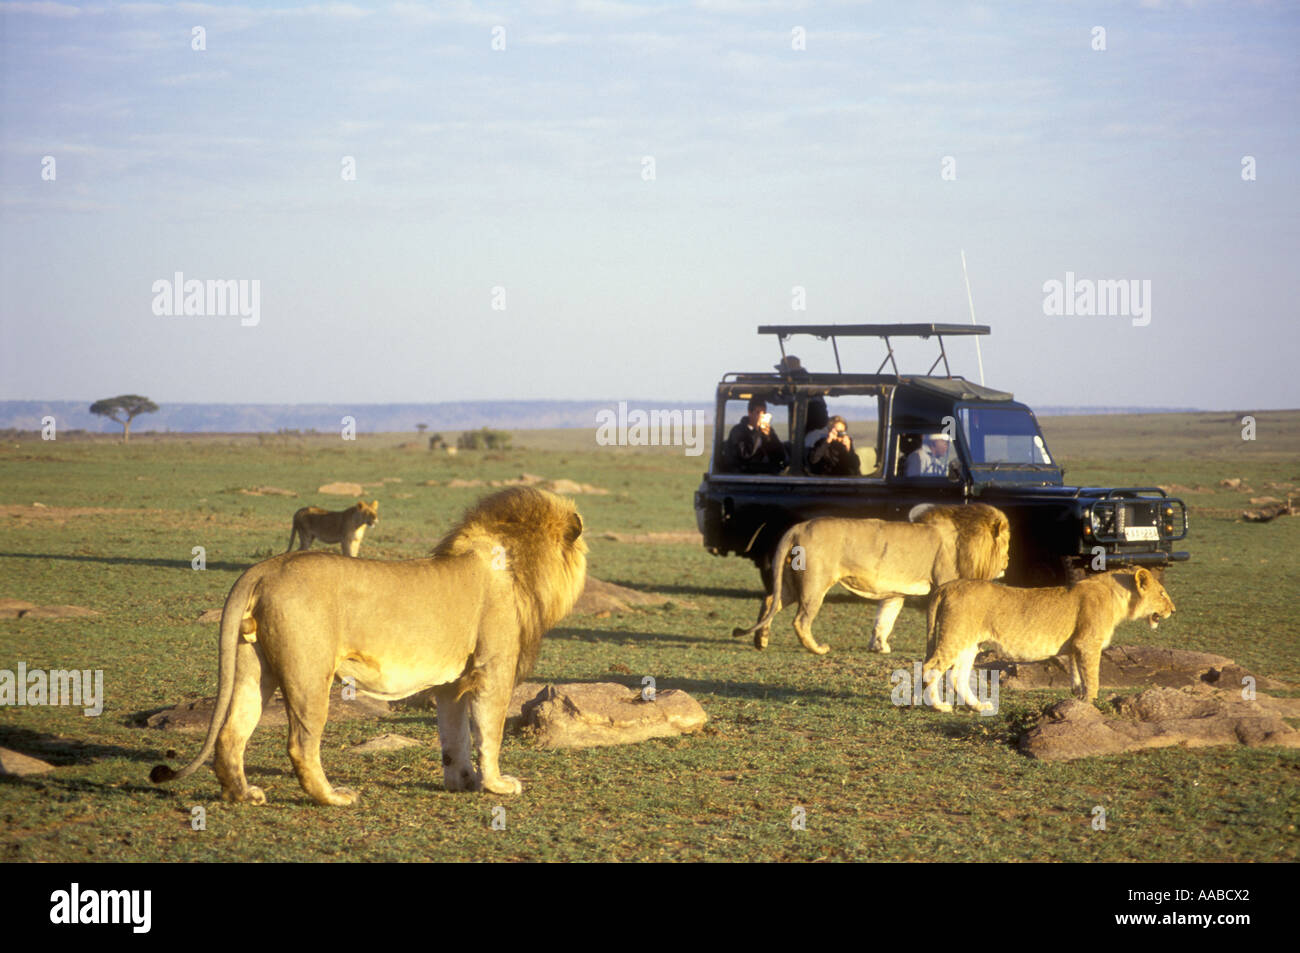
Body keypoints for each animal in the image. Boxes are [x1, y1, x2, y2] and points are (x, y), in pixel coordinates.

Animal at [151, 486, 586, 805]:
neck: (519, 563)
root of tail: (266, 568)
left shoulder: (452, 682)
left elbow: (455, 735)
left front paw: (461, 781)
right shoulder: (492, 669)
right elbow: (488, 732)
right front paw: (497, 785)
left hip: (253, 667)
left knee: (231, 733)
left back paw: (243, 794)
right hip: (309, 673)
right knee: (300, 744)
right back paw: (333, 798)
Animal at [732, 502, 1010, 655]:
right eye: (1007, 543)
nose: (1008, 561)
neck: (966, 536)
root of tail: (799, 526)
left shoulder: (896, 593)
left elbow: (884, 619)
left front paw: (879, 647)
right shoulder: (942, 586)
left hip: (791, 581)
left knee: (770, 601)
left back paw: (761, 641)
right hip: (815, 584)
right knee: (800, 620)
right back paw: (818, 649)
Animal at [922, 567, 1175, 712]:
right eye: (1162, 593)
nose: (1173, 610)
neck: (1118, 597)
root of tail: (946, 586)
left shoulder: (1076, 645)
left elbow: (1077, 674)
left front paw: (1079, 698)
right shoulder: (1088, 643)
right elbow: (1093, 678)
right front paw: (1091, 703)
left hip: (970, 644)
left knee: (957, 676)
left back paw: (977, 706)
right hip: (954, 636)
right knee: (930, 667)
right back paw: (939, 706)